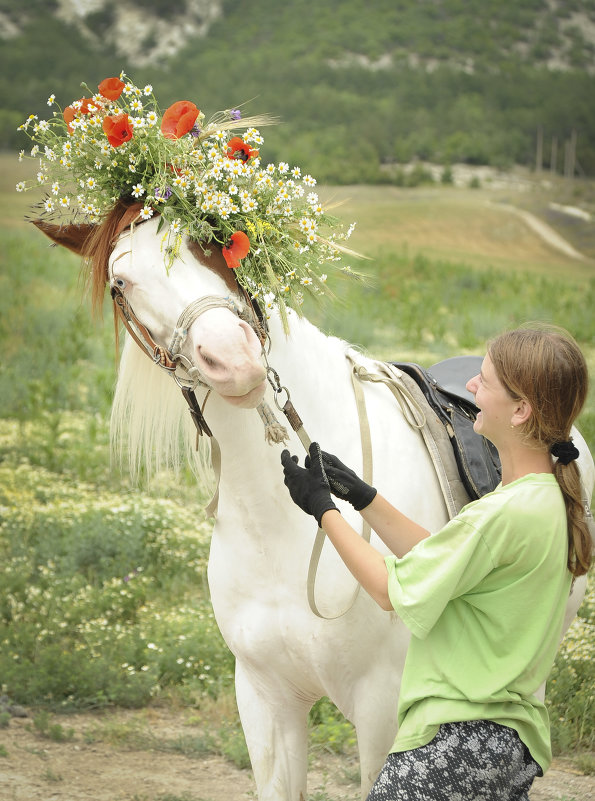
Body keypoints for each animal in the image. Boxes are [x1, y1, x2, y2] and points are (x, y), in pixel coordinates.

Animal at [37, 211, 595, 800]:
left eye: (212, 238)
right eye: (120, 283)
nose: (232, 357)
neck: (277, 528)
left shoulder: (382, 710)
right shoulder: (264, 699)